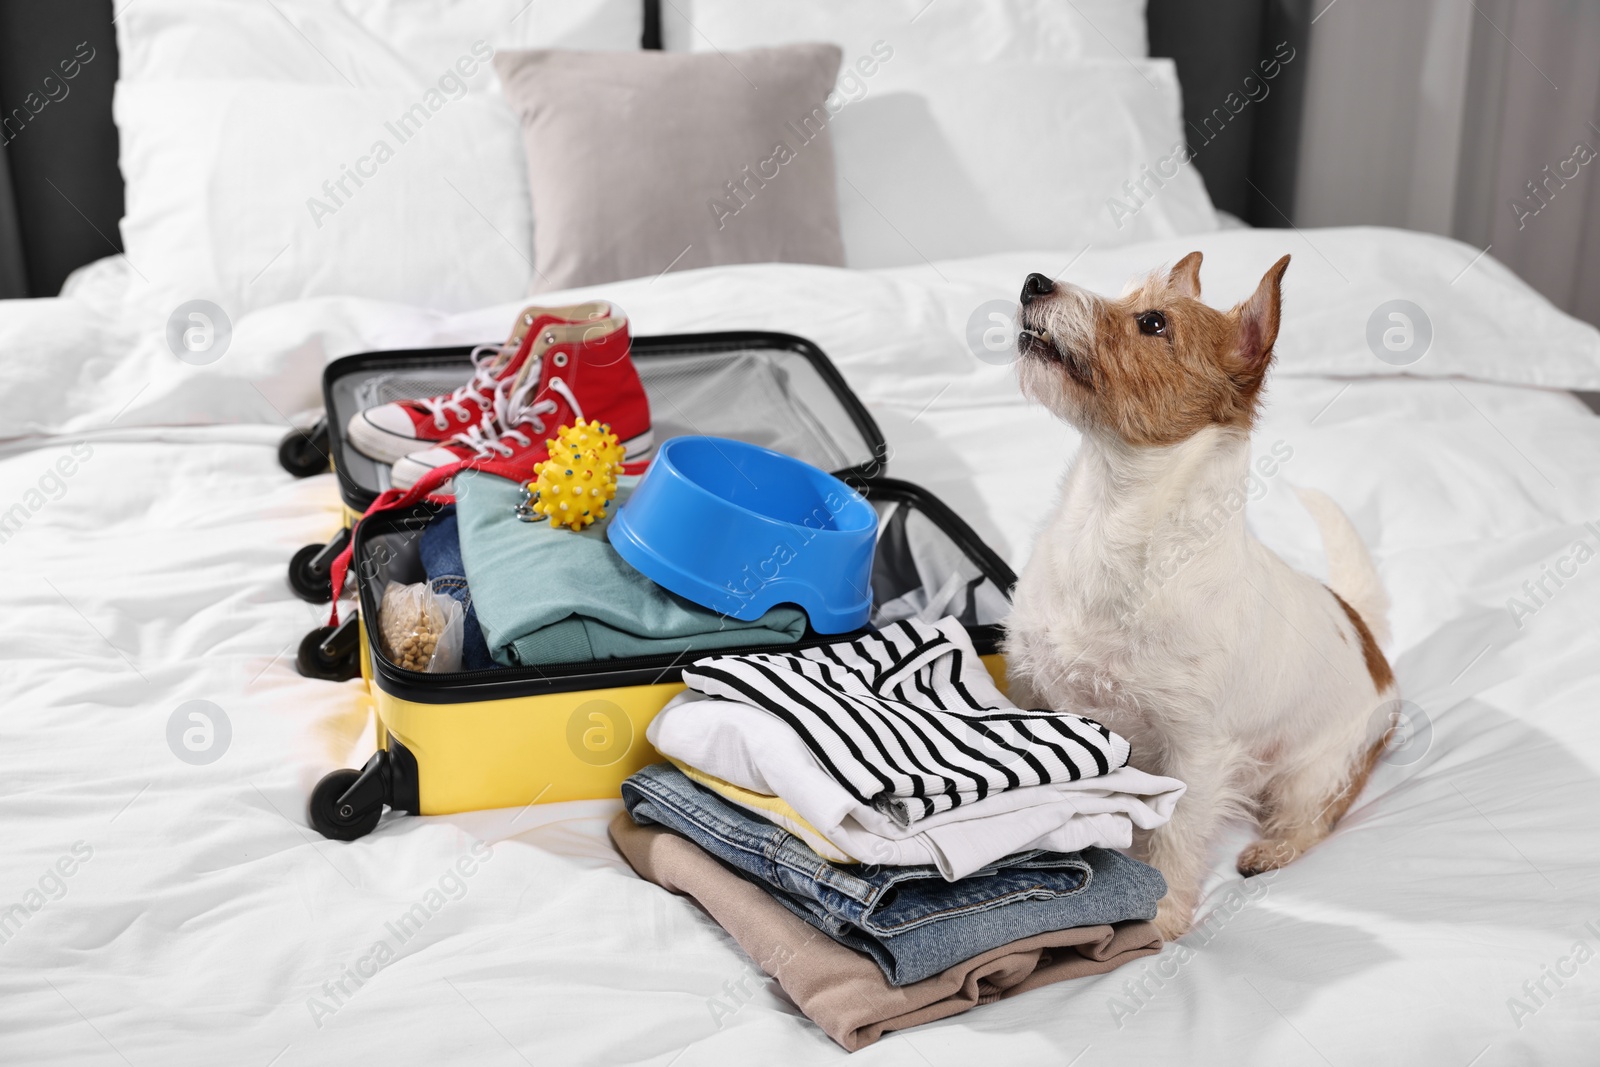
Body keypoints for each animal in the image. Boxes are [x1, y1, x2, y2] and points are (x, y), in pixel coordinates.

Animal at [1004, 254, 1395, 940]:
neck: (1111, 515)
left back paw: (1274, 849)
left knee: (1315, 819)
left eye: (1153, 322)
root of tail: (1365, 632)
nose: (1034, 282)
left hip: (1315, 771)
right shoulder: (1033, 687)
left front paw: (1159, 919)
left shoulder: (1196, 751)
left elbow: (1178, 836)